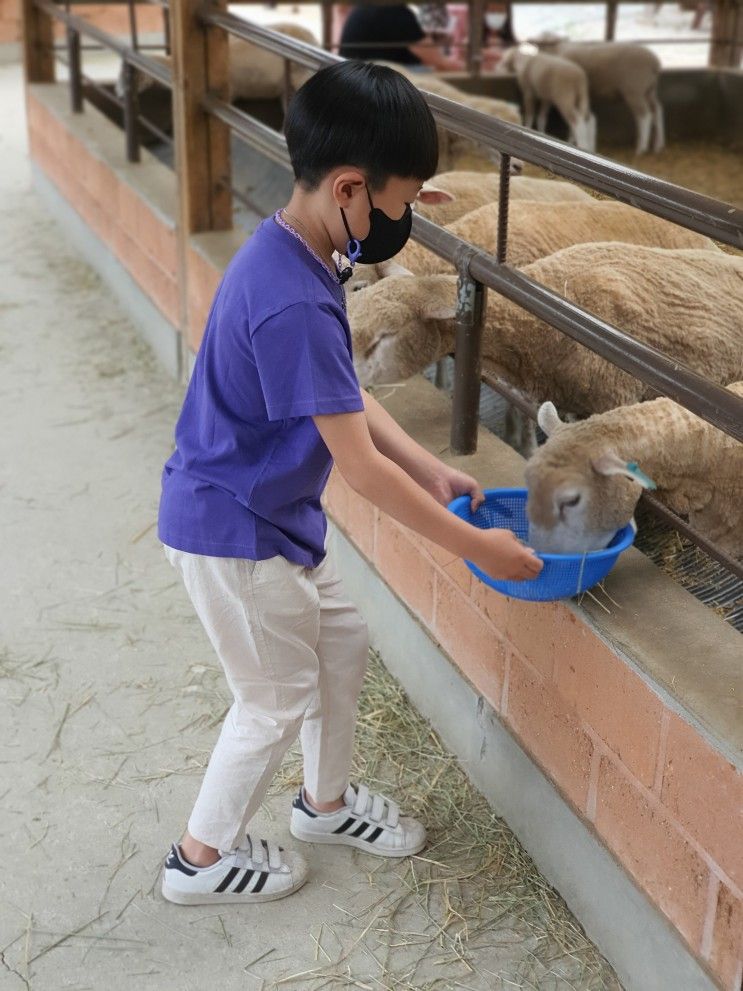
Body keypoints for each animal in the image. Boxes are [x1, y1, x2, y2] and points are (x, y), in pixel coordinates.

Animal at [532, 36, 664, 155]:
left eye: (540, 45)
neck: (557, 50)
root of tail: (654, 62)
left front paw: (572, 140)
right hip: (649, 90)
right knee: (657, 110)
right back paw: (658, 146)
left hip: (635, 89)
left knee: (644, 116)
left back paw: (641, 148)